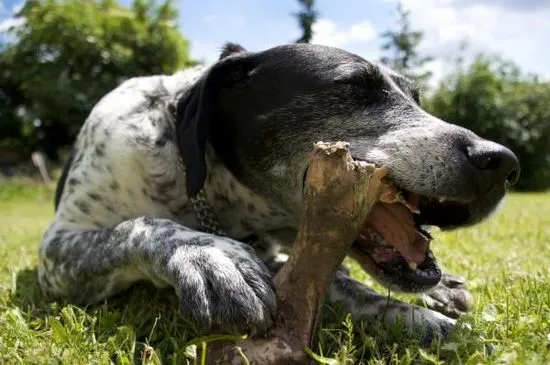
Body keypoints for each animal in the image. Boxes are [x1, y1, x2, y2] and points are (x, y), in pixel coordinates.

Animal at [38, 42, 520, 342]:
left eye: (417, 99)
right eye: (353, 87)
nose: (503, 163)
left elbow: (346, 286)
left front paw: (420, 315)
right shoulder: (58, 254)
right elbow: (142, 226)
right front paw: (210, 255)